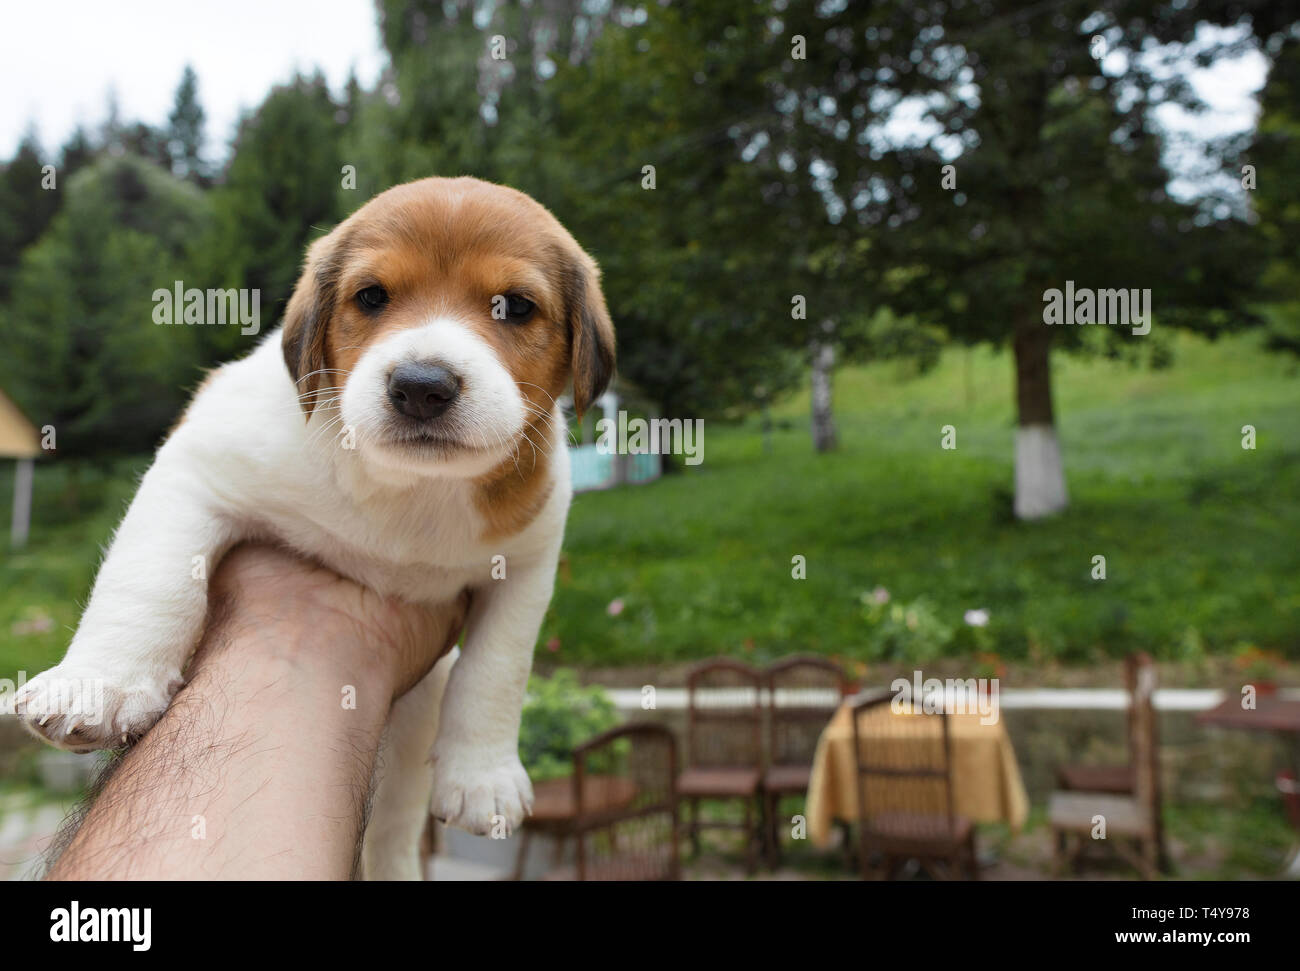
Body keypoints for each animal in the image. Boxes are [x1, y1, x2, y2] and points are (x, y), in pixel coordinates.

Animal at [12, 176, 613, 878]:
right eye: (372, 296)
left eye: (515, 307)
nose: (422, 386)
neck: (407, 487)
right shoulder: (192, 470)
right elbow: (150, 578)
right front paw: (101, 685)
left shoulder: (527, 566)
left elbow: (496, 669)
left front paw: (482, 777)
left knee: (392, 829)